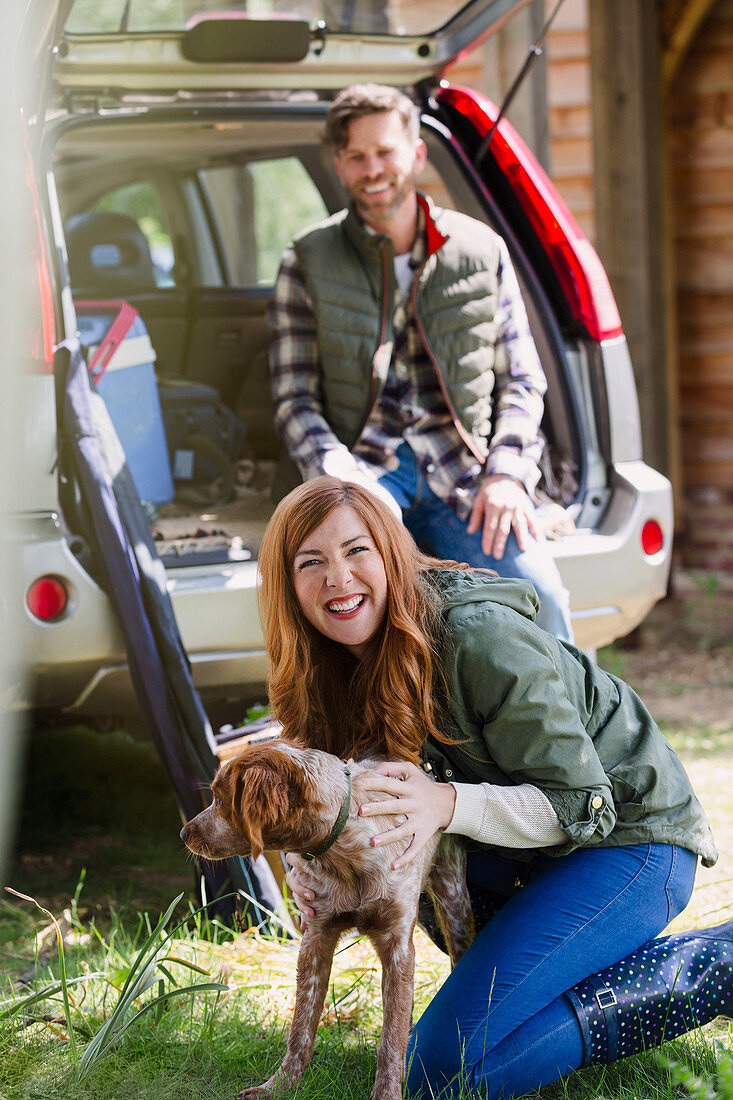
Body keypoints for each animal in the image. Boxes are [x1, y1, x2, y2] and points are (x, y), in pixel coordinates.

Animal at [179, 739, 471, 1100]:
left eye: (220, 800)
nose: (183, 832)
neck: (345, 850)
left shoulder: (397, 942)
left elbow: (391, 1038)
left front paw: (387, 1092)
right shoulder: (316, 936)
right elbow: (301, 1029)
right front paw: (279, 1086)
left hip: (453, 899)